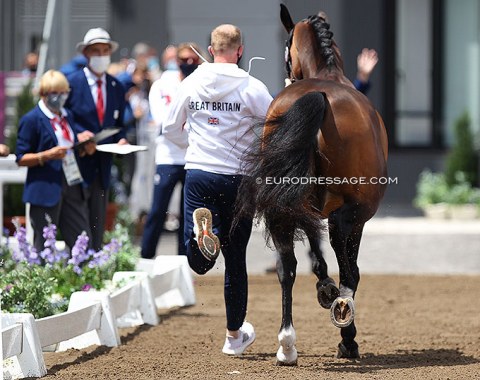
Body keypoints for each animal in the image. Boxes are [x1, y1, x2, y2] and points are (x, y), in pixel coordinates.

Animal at [234, 3, 388, 366]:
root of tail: (318, 94)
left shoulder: (303, 201)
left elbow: (314, 253)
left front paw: (323, 286)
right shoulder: (349, 216)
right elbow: (346, 265)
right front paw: (336, 303)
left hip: (281, 207)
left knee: (286, 268)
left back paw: (287, 344)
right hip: (352, 214)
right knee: (349, 269)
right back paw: (346, 329)